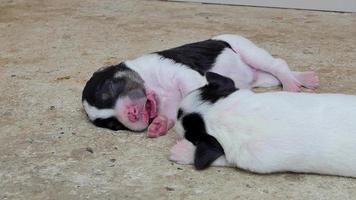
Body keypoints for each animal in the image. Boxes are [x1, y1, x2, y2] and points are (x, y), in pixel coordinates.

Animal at [82, 34, 318, 138]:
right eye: (113, 124)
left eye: (109, 89)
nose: (131, 114)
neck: (156, 89)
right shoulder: (168, 106)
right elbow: (167, 116)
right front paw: (158, 125)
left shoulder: (181, 72)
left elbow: (193, 87)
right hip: (262, 77)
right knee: (274, 75)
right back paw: (303, 79)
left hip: (248, 49)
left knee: (278, 64)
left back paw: (295, 83)